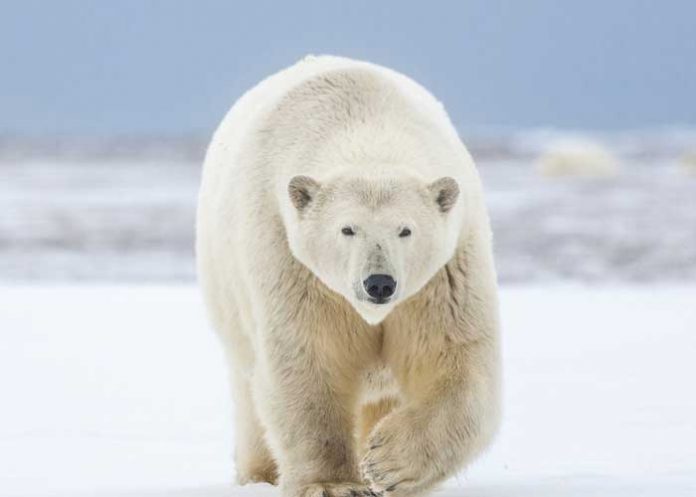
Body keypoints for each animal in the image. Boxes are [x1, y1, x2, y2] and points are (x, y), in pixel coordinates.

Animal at [196, 55, 501, 497]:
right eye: (347, 229)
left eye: (405, 230)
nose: (379, 283)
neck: (364, 122)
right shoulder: (290, 260)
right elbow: (307, 360)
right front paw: (333, 483)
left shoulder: (445, 273)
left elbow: (455, 359)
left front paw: (386, 464)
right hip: (230, 300)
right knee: (250, 393)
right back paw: (259, 473)